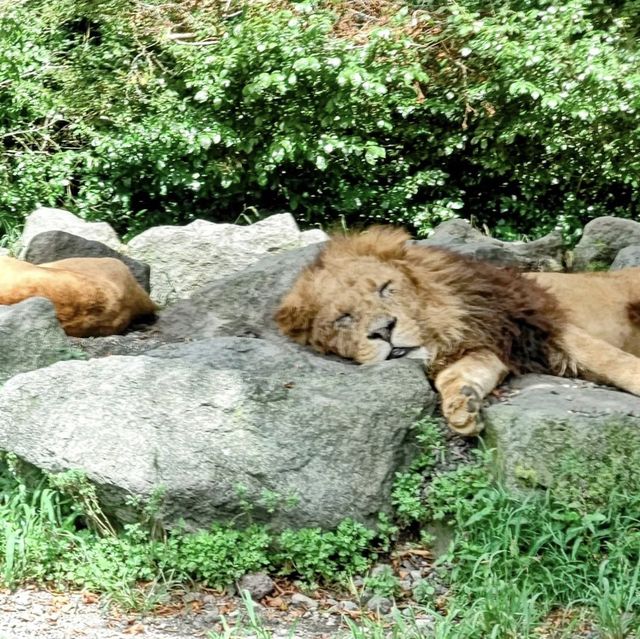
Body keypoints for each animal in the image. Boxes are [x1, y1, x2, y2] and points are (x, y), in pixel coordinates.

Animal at [274, 224, 640, 436]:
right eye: (344, 318)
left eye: (385, 288)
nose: (384, 331)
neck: (444, 321)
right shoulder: (489, 343)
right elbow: (455, 374)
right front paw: (463, 404)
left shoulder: (536, 322)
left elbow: (610, 359)